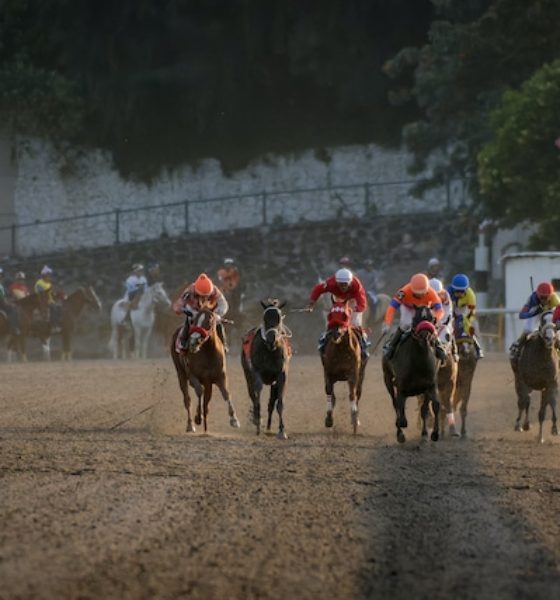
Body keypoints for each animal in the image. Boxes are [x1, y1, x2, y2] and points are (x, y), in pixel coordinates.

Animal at [241, 298, 294, 438]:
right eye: (265, 318)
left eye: (279, 319)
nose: (271, 339)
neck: (270, 350)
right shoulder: (256, 373)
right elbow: (257, 397)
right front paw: (258, 424)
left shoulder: (281, 375)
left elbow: (279, 403)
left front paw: (282, 430)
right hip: (247, 374)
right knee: (252, 394)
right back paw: (257, 419)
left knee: (271, 402)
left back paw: (269, 427)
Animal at [322, 302, 366, 434]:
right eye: (331, 315)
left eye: (345, 316)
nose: (335, 333)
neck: (341, 349)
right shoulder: (328, 373)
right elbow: (329, 393)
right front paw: (329, 419)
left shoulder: (353, 374)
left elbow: (352, 394)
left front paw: (354, 418)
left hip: (361, 375)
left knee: (358, 393)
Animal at [384, 308, 442, 442]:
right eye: (415, 319)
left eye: (432, 319)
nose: (425, 336)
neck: (418, 362)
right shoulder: (400, 385)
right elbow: (399, 408)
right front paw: (401, 429)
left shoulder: (430, 385)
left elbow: (432, 406)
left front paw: (431, 434)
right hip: (387, 379)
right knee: (395, 403)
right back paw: (400, 431)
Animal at [510, 312, 556, 442]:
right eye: (543, 321)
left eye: (555, 322)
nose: (550, 338)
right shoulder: (523, 381)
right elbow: (523, 401)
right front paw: (520, 425)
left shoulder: (549, 384)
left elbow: (544, 409)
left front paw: (541, 436)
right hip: (518, 379)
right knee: (525, 400)